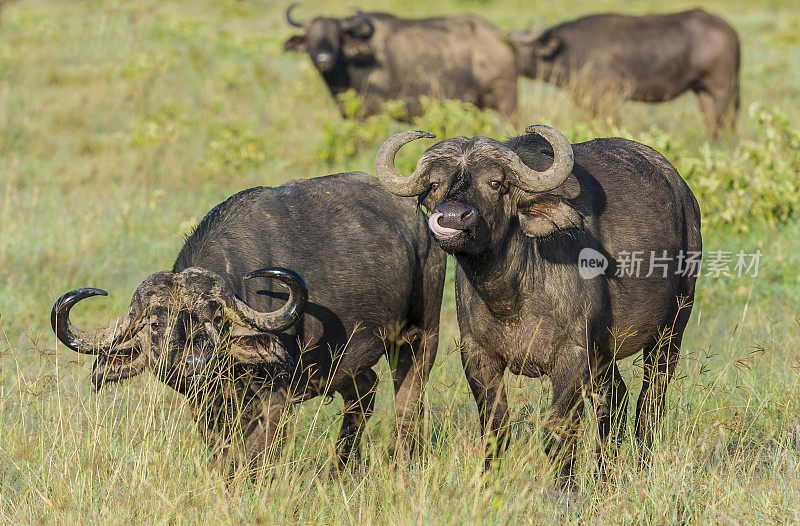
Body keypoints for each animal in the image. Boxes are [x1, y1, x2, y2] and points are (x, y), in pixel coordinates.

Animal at [53, 173, 446, 478]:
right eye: (155, 323)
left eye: (216, 317)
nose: (191, 364)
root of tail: (421, 224)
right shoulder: (207, 405)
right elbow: (224, 453)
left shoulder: (277, 399)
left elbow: (256, 456)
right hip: (343, 364)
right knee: (363, 393)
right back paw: (339, 469)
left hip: (422, 335)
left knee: (408, 400)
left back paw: (401, 463)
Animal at [282, 4, 520, 119]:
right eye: (311, 37)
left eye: (337, 37)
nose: (323, 58)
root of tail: (501, 38)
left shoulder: (376, 110)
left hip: (506, 101)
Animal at [376, 127, 700, 490]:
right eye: (434, 184)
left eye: (495, 183)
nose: (453, 217)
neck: (512, 292)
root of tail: (682, 192)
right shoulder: (478, 355)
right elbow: (496, 427)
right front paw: (488, 484)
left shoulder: (572, 356)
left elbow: (559, 430)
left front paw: (564, 489)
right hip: (604, 352)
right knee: (615, 399)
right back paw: (604, 476)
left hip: (672, 327)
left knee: (651, 400)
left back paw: (640, 466)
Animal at [510, 9, 740, 137]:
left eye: (512, 46)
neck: (571, 51)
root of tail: (728, 29)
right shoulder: (585, 102)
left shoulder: (610, 100)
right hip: (703, 92)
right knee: (713, 122)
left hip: (722, 89)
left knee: (726, 121)